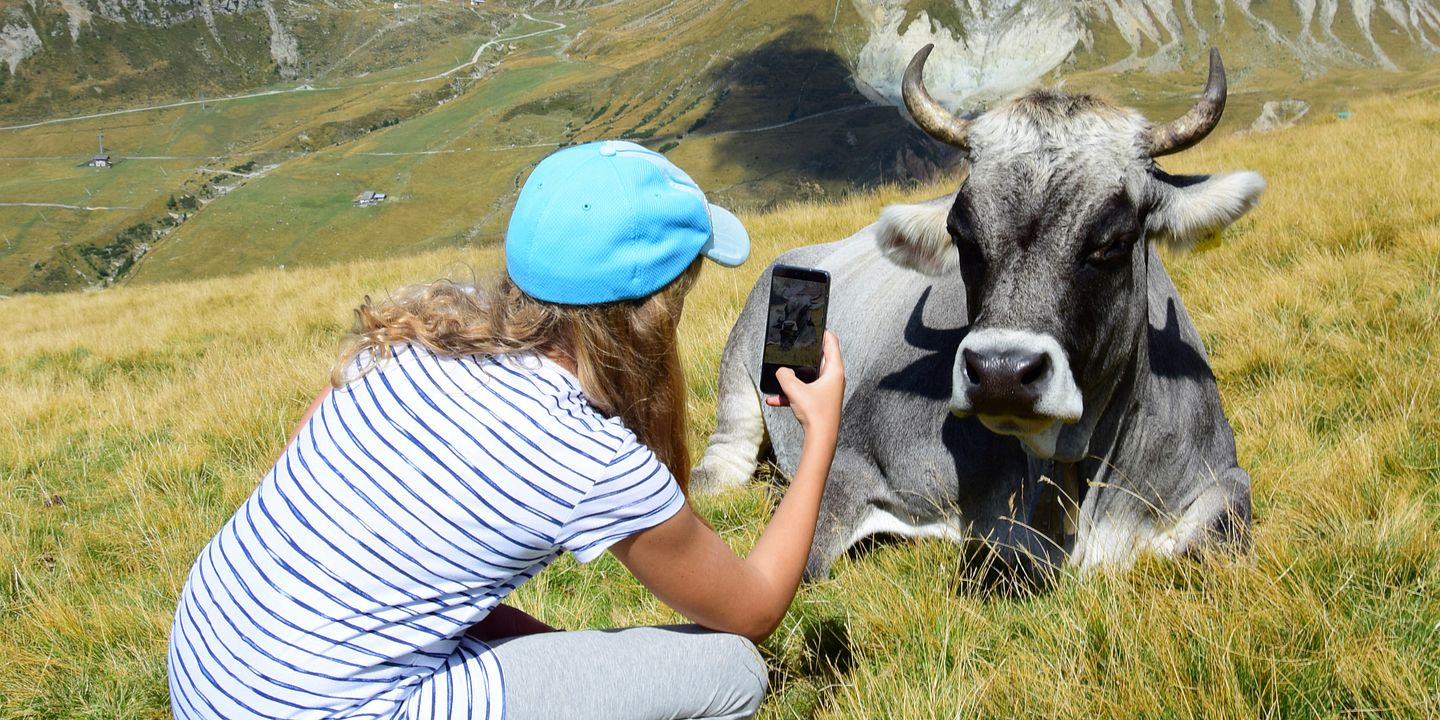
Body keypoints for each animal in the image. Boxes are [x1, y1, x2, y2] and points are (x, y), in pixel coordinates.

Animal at [692, 46, 1264, 581]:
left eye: (1115, 241)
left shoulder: (1222, 474)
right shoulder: (847, 459)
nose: (1001, 374)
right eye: (961, 234)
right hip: (739, 375)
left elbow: (1220, 537)